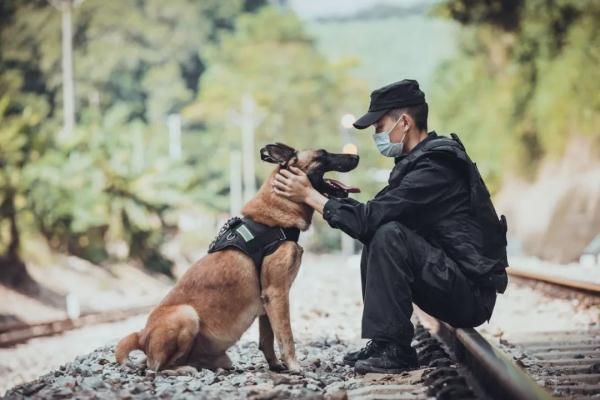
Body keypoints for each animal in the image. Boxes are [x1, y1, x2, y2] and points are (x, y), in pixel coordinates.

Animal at [116, 143, 358, 372]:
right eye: (323, 155)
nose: (356, 156)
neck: (274, 221)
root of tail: (141, 335)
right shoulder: (277, 293)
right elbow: (286, 336)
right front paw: (294, 366)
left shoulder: (267, 299)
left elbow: (268, 339)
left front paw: (276, 366)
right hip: (187, 314)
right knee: (156, 366)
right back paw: (183, 369)